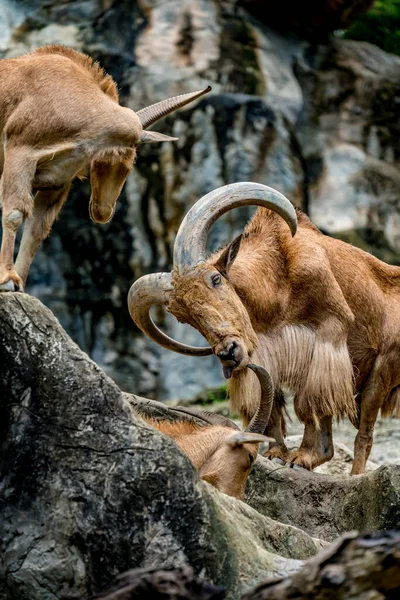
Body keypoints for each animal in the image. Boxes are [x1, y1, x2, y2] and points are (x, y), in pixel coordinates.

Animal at [0, 44, 211, 290]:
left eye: (127, 167)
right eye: (100, 162)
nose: (103, 212)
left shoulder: (57, 182)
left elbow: (36, 230)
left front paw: (21, 284)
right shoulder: (20, 153)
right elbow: (14, 214)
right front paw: (8, 279)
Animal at [127, 180, 400, 476]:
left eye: (215, 279)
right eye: (180, 316)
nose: (228, 353)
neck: (277, 285)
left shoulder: (328, 336)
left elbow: (305, 404)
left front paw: (301, 457)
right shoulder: (261, 356)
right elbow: (272, 404)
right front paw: (277, 454)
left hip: (380, 375)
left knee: (364, 435)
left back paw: (354, 474)